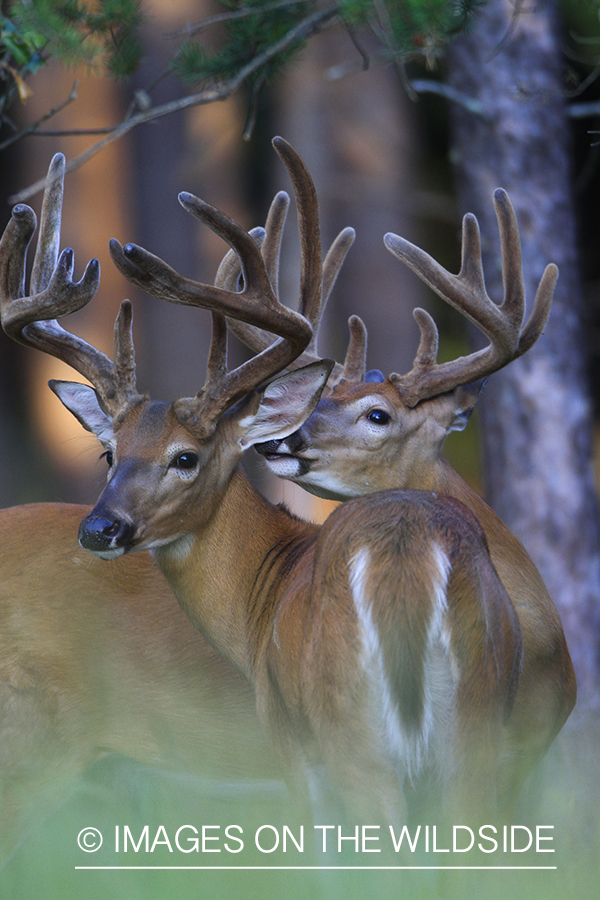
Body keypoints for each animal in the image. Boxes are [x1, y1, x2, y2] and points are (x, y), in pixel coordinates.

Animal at [0, 138, 525, 828]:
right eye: (108, 453)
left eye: (186, 457)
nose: (100, 528)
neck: (264, 589)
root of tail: (408, 558)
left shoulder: (293, 750)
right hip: (475, 733)